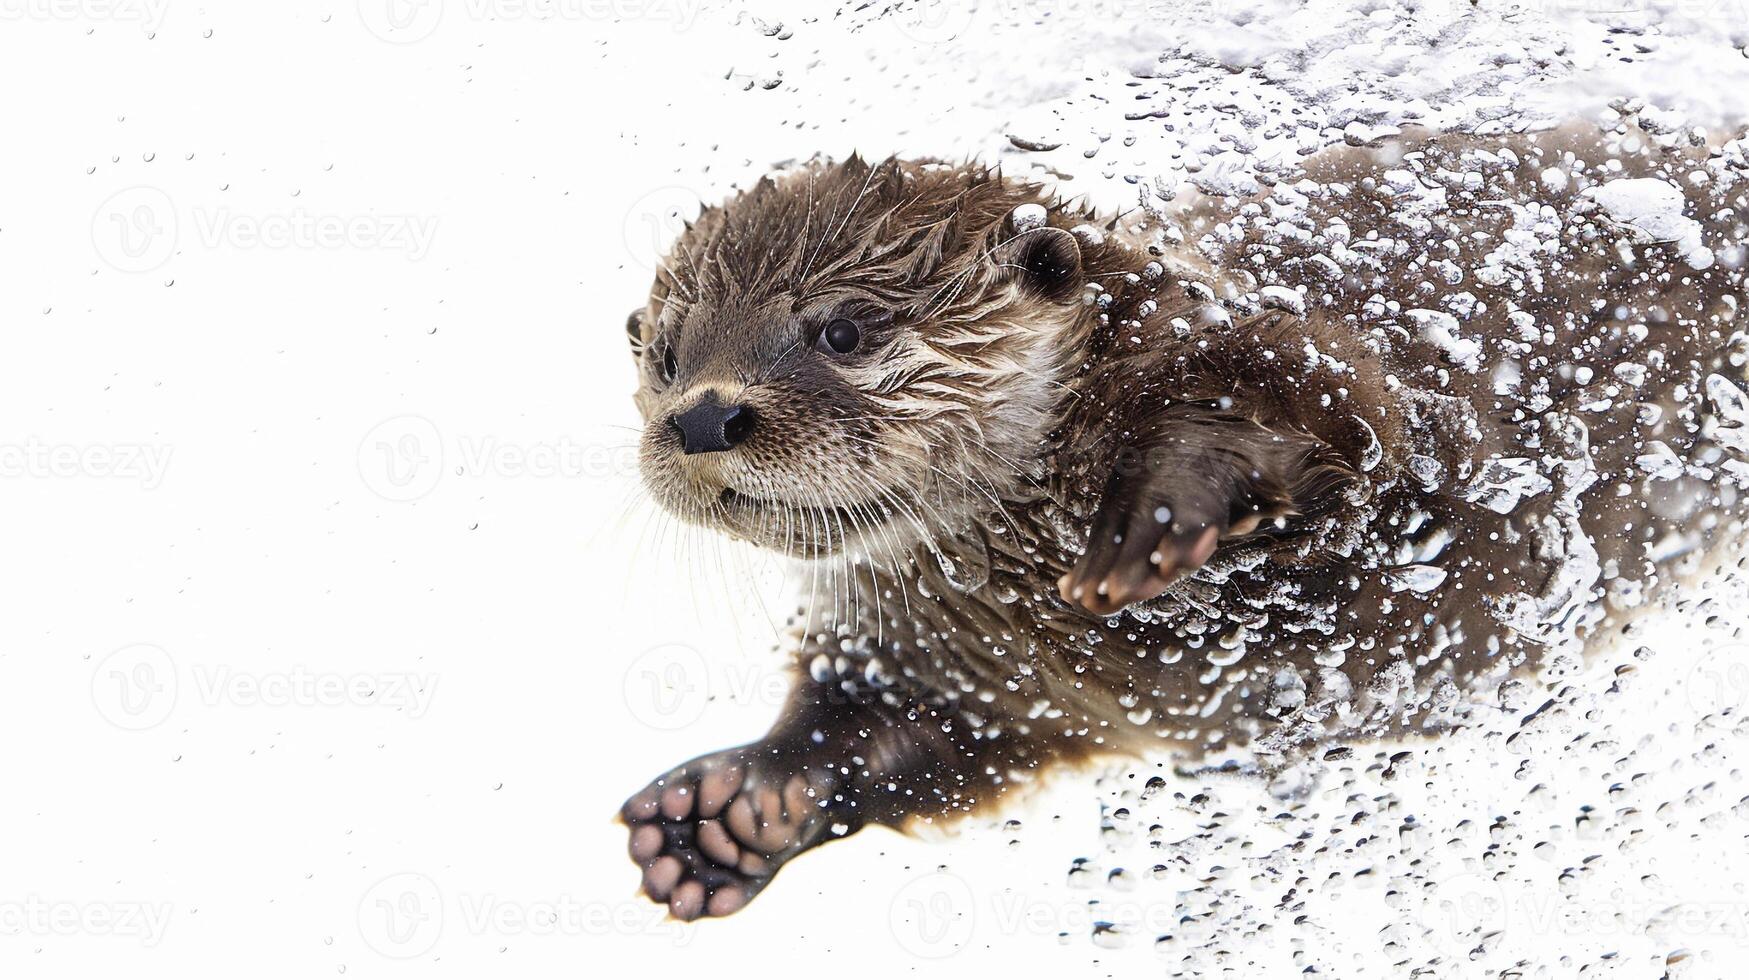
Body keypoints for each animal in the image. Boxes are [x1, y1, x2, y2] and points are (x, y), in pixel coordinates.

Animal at [615, 120, 1749, 917]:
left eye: (844, 331)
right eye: (666, 354)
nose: (704, 414)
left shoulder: (1370, 398)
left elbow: (1319, 411)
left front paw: (1158, 505)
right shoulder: (960, 660)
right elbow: (901, 728)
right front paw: (731, 808)